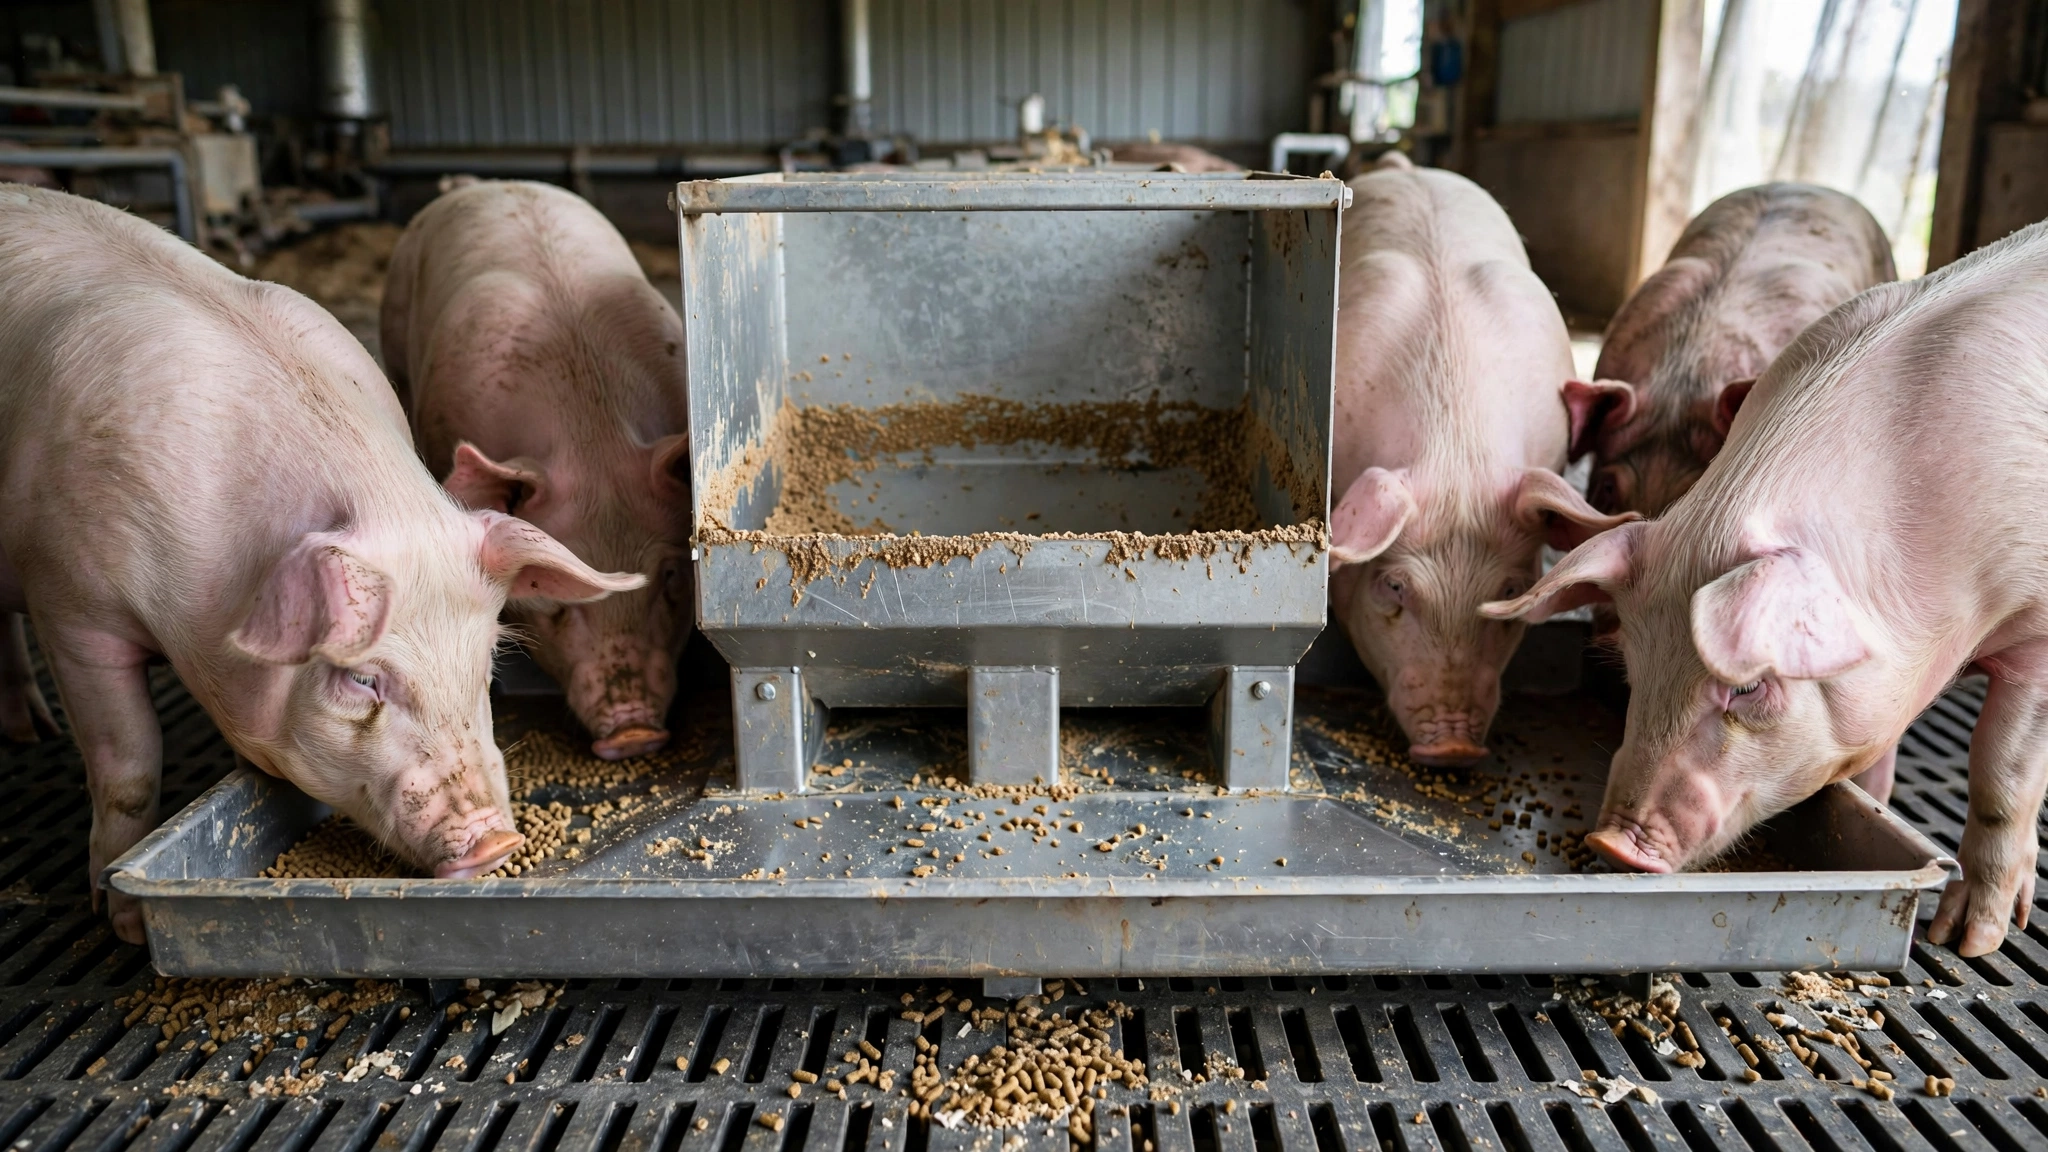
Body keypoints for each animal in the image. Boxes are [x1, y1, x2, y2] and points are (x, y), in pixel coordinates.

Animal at [0, 185, 643, 941]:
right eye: (363, 679)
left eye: (485, 662)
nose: (497, 842)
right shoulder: (71, 606)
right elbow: (127, 769)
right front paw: (126, 926)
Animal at [1484, 219, 2048, 956]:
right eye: (1637, 670)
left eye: (1749, 686)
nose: (1611, 843)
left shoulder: (2036, 630)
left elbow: (2002, 778)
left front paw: (1967, 941)